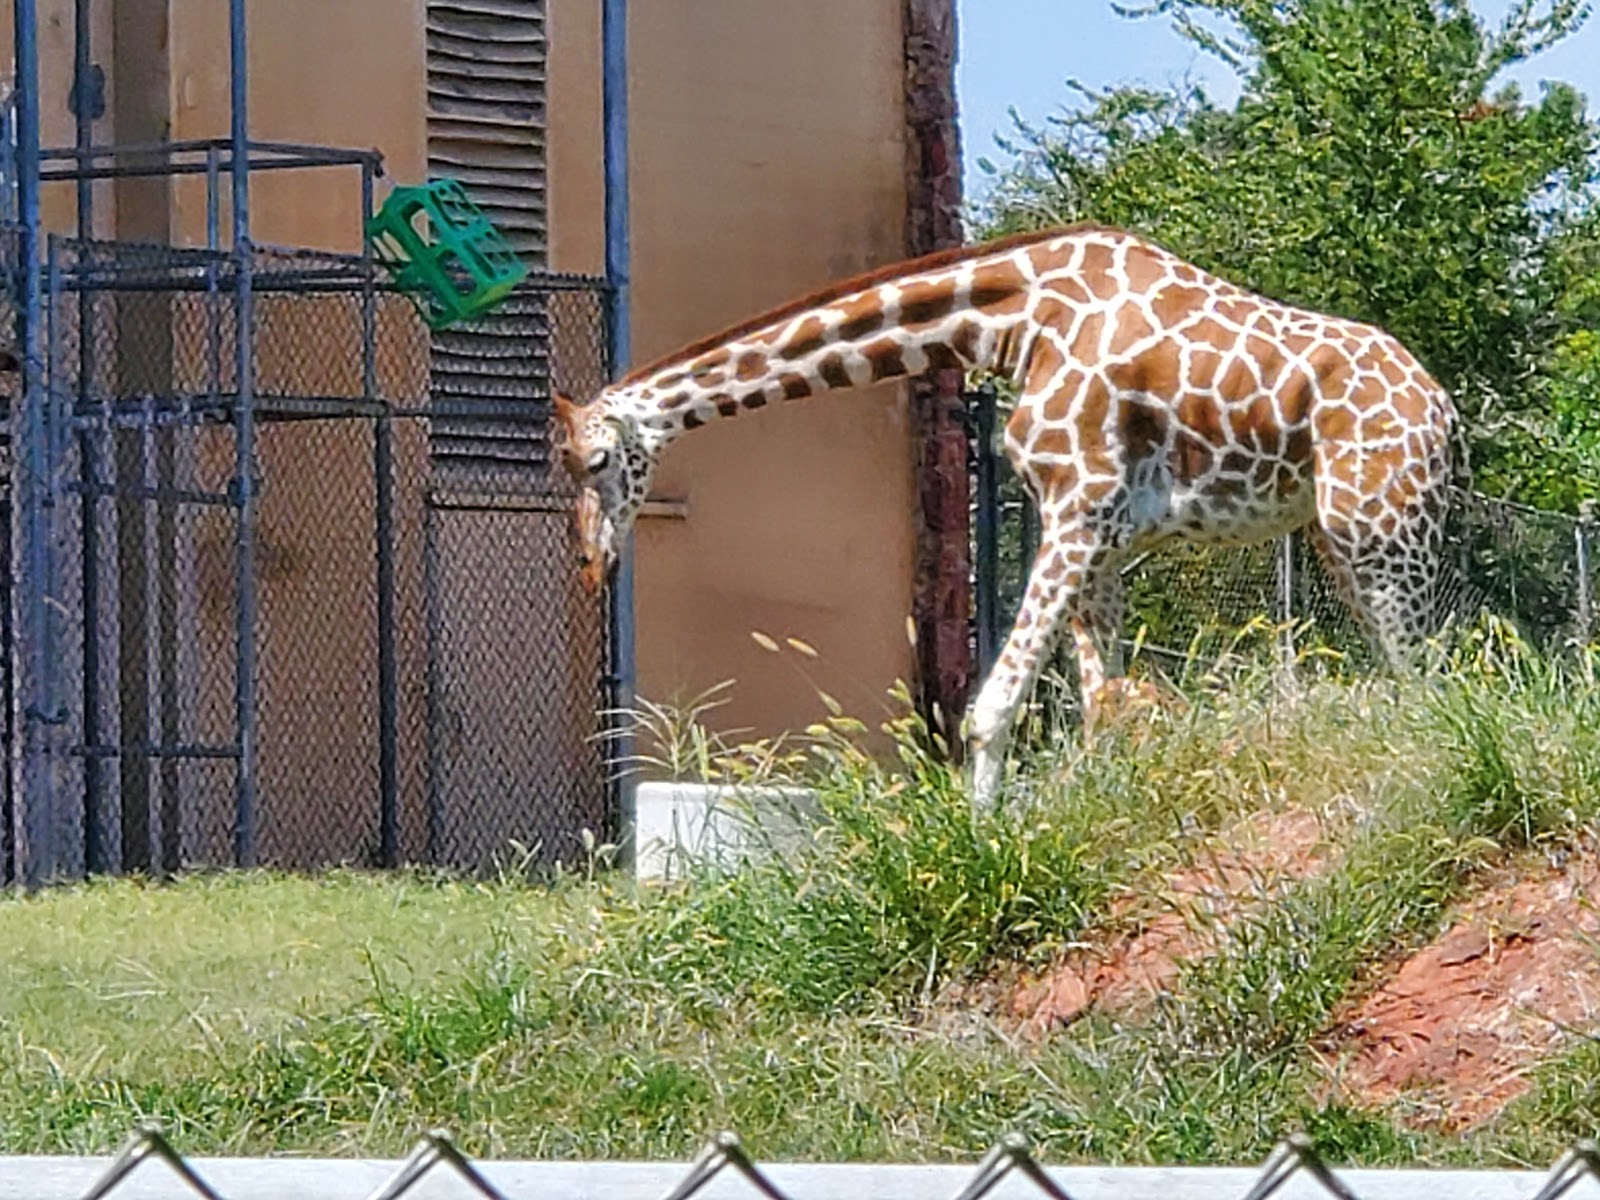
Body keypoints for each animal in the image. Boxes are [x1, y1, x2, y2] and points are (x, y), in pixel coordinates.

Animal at [550, 224, 1465, 819]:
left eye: (592, 463)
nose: (595, 565)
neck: (1013, 318)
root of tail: (1443, 411)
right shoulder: (1102, 534)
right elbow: (1107, 708)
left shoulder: (1080, 507)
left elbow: (990, 711)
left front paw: (980, 843)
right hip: (1343, 541)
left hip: (1381, 531)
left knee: (1432, 679)